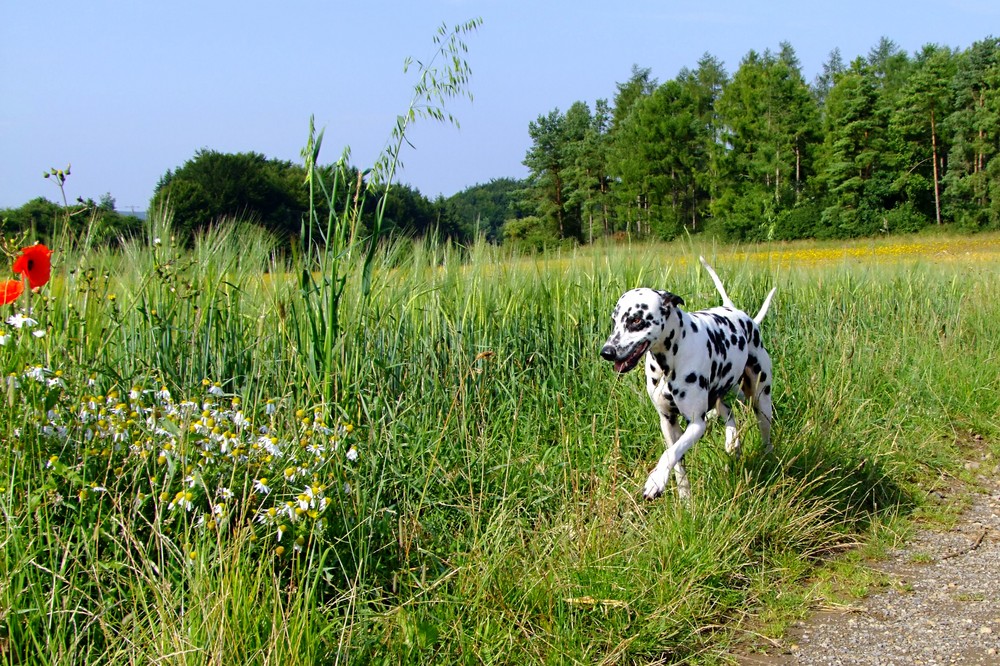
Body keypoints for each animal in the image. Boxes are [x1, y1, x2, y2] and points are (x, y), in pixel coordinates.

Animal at [596, 256, 776, 496]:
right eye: (614, 320)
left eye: (636, 320)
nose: (607, 352)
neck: (669, 361)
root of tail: (742, 316)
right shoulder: (668, 423)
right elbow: (677, 463)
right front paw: (685, 499)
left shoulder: (696, 424)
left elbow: (669, 454)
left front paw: (655, 480)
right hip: (719, 395)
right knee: (728, 411)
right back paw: (732, 443)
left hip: (760, 399)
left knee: (765, 434)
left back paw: (768, 459)